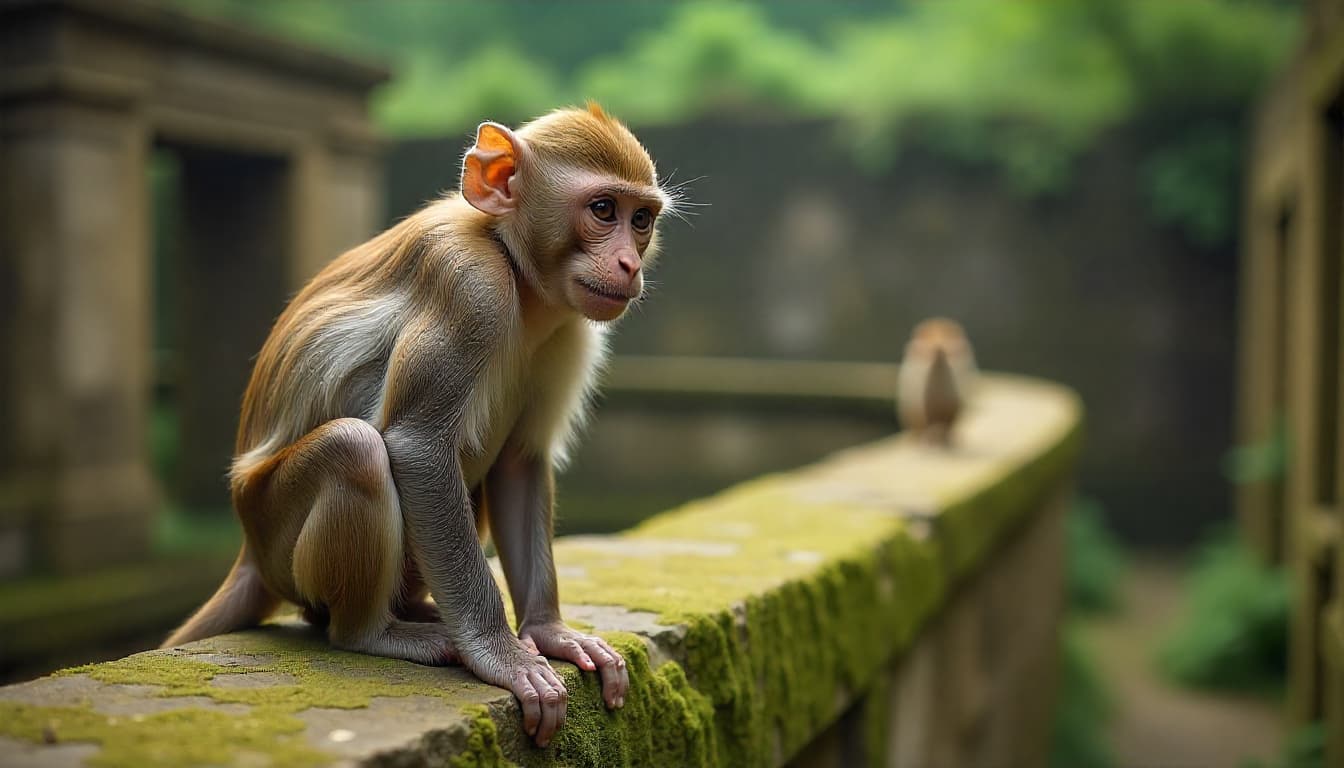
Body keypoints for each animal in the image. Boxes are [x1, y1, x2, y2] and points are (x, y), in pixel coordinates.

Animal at [161, 104, 677, 748]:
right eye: (604, 209)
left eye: (642, 219)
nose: (629, 263)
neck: (514, 268)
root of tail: (250, 552)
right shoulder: (470, 287)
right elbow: (418, 447)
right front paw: (500, 653)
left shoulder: (572, 327)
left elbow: (520, 462)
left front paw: (549, 632)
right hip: (275, 531)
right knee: (355, 452)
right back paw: (374, 632)